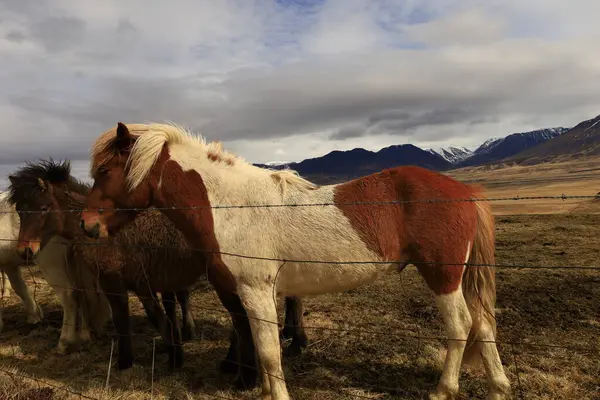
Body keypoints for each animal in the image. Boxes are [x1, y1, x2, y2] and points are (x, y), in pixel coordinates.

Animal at [7, 161, 310, 386]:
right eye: (20, 211)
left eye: (43, 208)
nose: (24, 251)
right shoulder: (144, 283)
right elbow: (160, 317)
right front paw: (174, 354)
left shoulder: (116, 283)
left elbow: (127, 321)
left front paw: (129, 362)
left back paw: (283, 348)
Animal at [79, 122, 510, 400]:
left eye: (106, 170)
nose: (86, 225)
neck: (229, 205)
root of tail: (465, 190)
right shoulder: (257, 294)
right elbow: (263, 347)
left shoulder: (254, 291)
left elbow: (269, 351)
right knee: (483, 325)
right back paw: (498, 388)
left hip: (443, 276)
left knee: (461, 326)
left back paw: (443, 390)